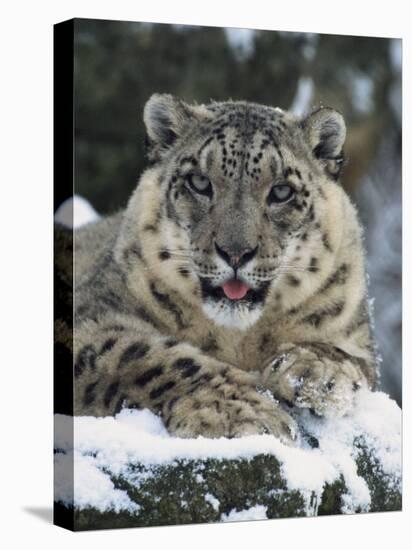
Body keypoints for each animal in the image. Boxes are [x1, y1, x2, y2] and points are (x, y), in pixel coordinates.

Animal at [56, 94, 378, 444]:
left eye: (282, 191)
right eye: (199, 182)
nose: (235, 252)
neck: (237, 338)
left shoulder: (354, 332)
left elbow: (353, 359)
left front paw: (314, 372)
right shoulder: (90, 317)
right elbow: (144, 356)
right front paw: (243, 411)